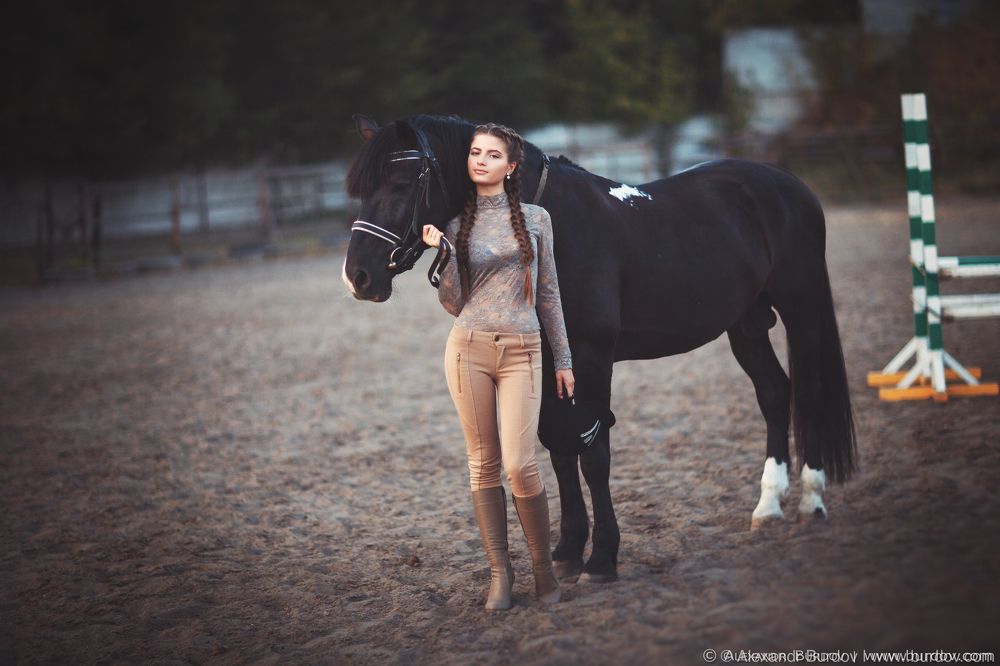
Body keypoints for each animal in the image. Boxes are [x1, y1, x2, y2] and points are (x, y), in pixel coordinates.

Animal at [342, 114, 857, 583]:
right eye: (362, 188)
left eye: (401, 183)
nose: (358, 277)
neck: (552, 225)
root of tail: (788, 184)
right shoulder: (552, 359)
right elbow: (558, 448)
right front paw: (568, 549)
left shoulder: (591, 358)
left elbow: (593, 455)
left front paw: (603, 558)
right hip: (746, 324)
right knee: (774, 393)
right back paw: (768, 506)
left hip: (801, 308)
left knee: (809, 391)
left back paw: (811, 500)